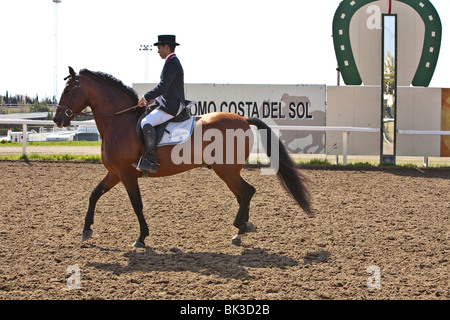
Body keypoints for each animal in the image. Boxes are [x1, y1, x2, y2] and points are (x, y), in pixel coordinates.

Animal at [53, 67, 312, 248]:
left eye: (67, 90)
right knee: (242, 195)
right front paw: (86, 230)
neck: (119, 122)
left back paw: (240, 227)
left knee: (247, 192)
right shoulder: (115, 173)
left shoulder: (127, 174)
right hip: (228, 171)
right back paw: (241, 231)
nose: (57, 119)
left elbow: (137, 204)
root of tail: (243, 119)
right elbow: (94, 194)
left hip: (226, 170)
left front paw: (141, 238)